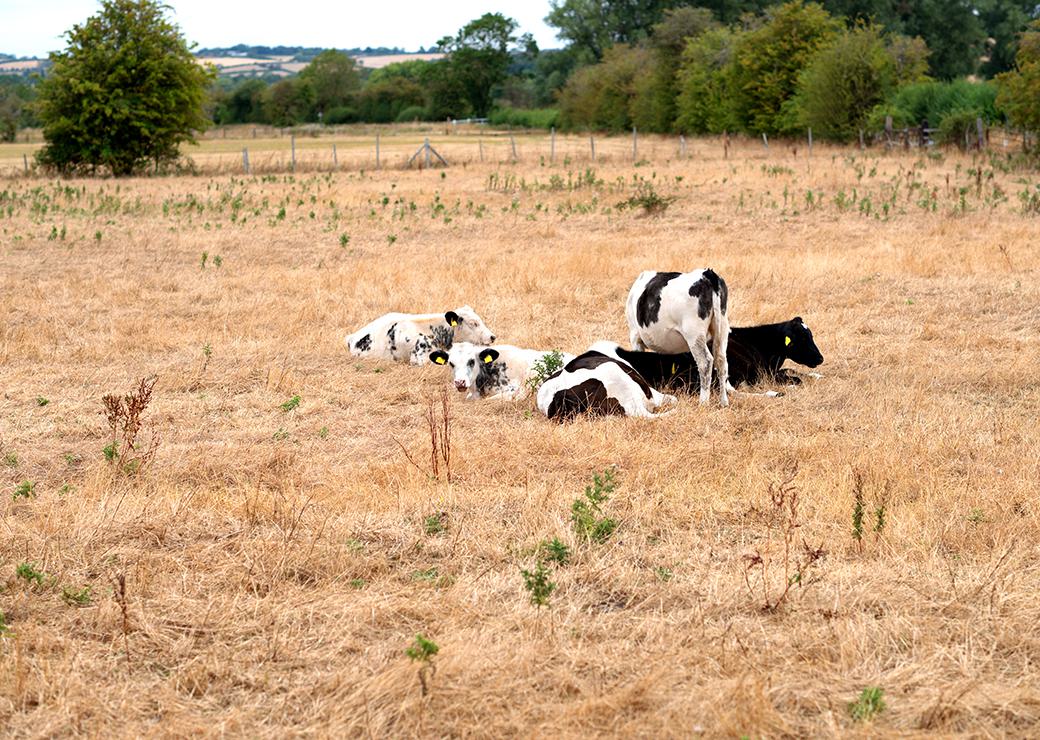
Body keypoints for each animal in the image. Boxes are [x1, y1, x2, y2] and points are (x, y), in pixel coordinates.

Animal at [589, 317, 823, 395]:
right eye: (803, 339)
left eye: (811, 335)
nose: (820, 359)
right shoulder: (764, 373)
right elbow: (792, 375)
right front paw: (795, 382)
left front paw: (817, 376)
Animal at [626, 269, 730, 406]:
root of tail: (707, 274)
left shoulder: (635, 337)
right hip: (722, 329)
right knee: (721, 362)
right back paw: (724, 402)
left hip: (694, 334)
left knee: (706, 362)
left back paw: (703, 402)